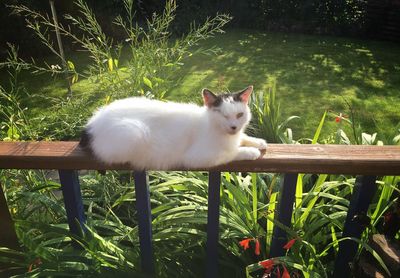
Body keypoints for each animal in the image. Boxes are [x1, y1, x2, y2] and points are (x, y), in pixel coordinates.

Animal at [79, 85, 268, 169]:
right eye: (223, 115)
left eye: (239, 115)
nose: (234, 127)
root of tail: (91, 124)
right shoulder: (198, 157)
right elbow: (230, 153)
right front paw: (250, 152)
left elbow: (243, 138)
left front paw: (258, 142)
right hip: (135, 133)